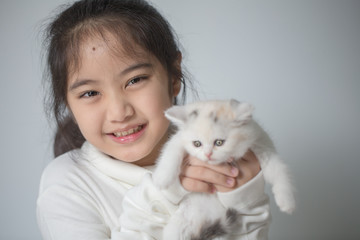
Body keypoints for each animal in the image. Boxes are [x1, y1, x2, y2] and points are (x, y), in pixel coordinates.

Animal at [152, 99, 296, 240]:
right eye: (197, 143)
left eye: (219, 142)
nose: (208, 154)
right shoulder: (178, 138)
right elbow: (171, 149)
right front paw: (162, 178)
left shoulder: (261, 142)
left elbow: (278, 169)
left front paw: (287, 201)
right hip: (177, 226)